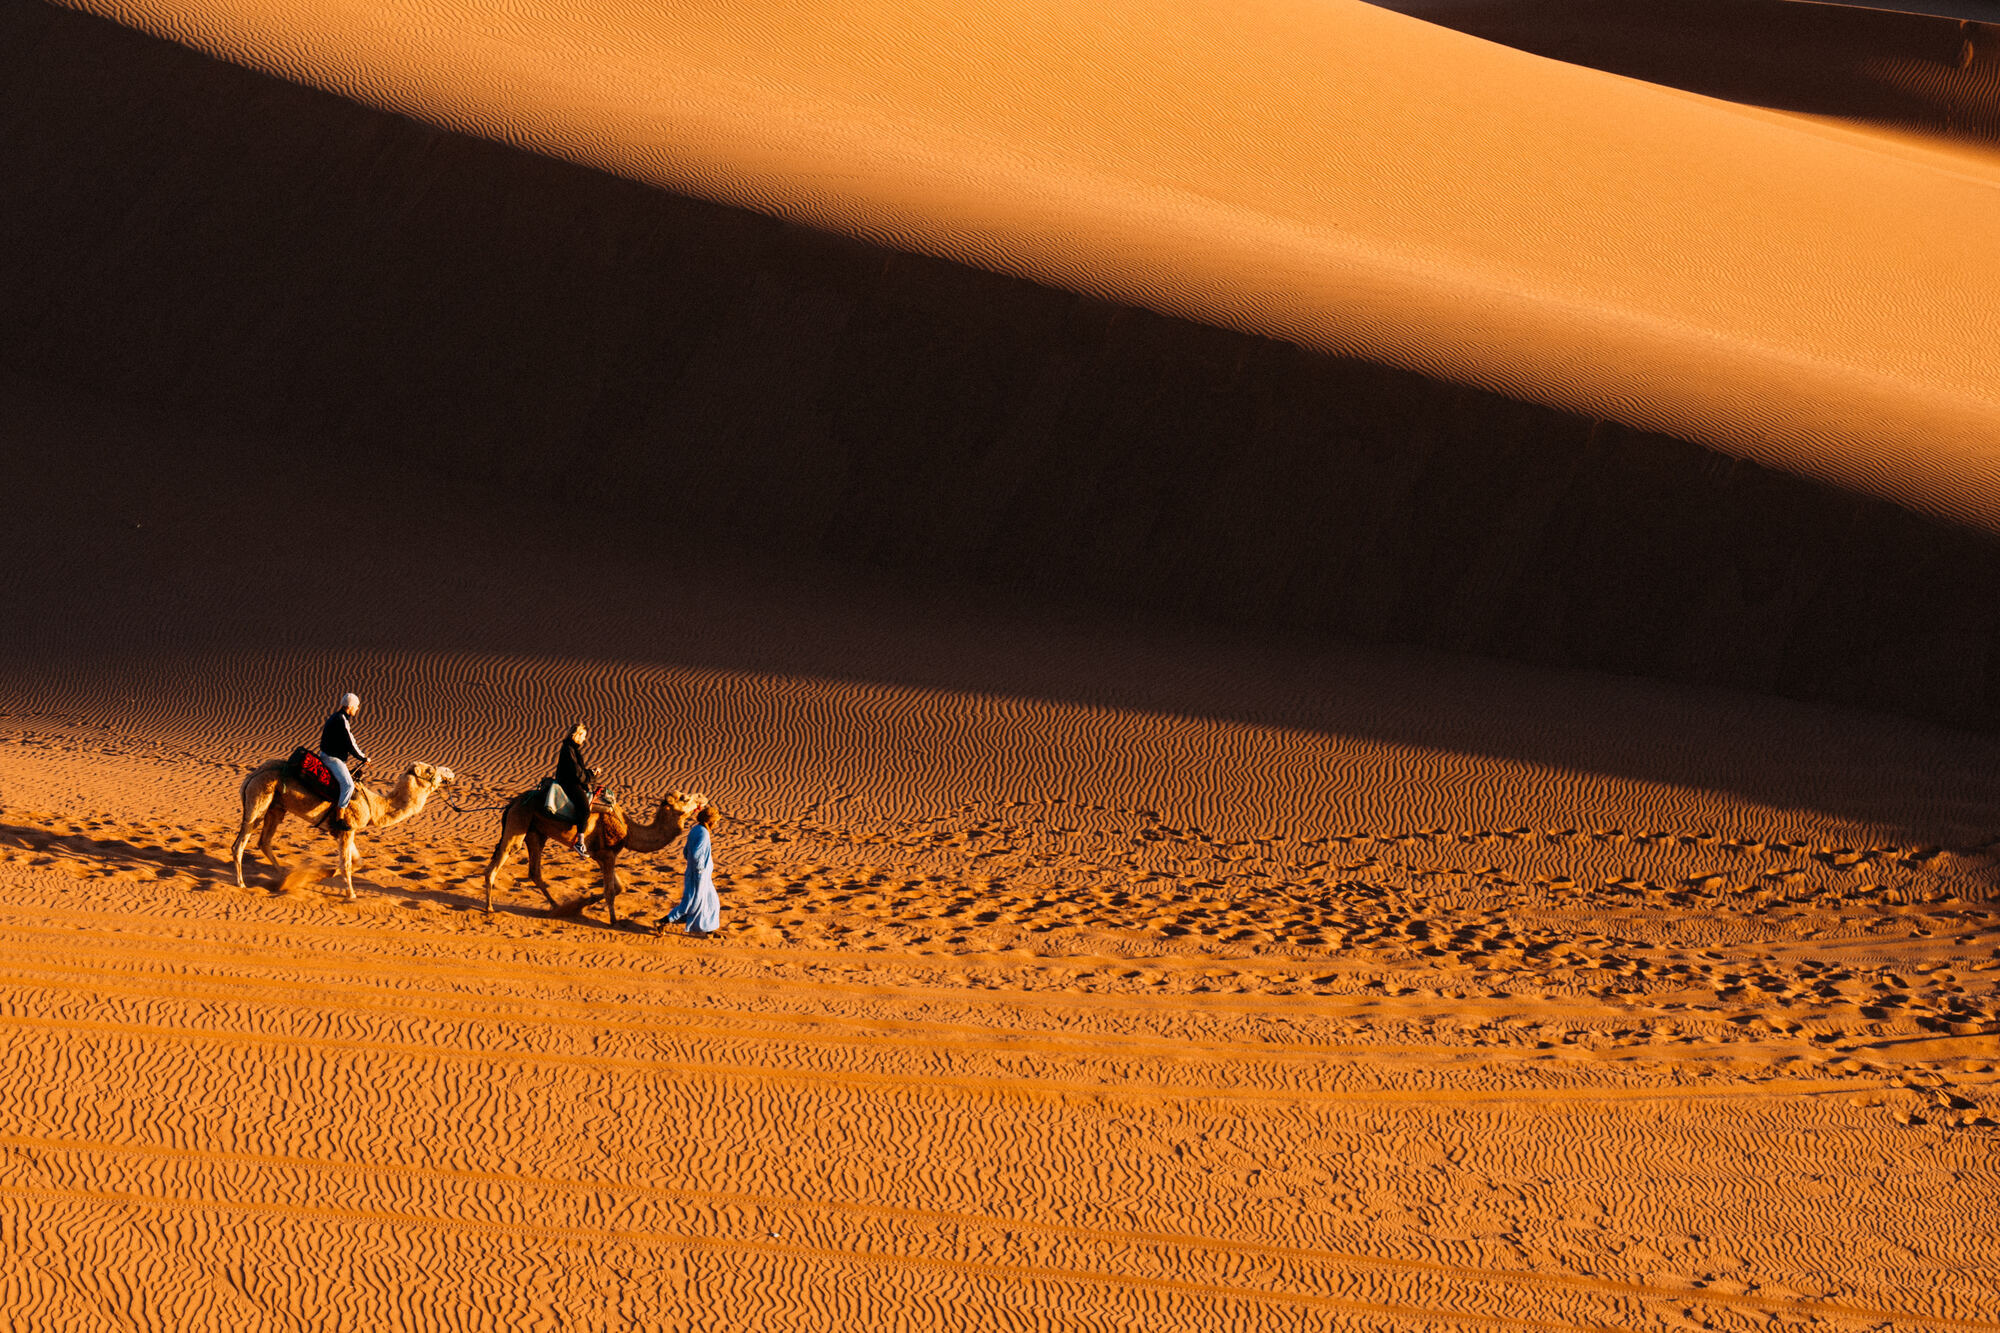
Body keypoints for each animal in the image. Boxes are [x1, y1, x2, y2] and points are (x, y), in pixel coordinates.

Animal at [232, 759, 457, 900]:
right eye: (429, 770)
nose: (450, 772)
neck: (374, 807)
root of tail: (251, 777)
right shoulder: (347, 829)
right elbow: (347, 864)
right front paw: (351, 894)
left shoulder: (343, 831)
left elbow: (356, 861)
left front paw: (323, 874)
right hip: (259, 800)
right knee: (240, 844)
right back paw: (242, 883)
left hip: (276, 807)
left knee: (264, 841)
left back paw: (285, 876)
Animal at [481, 788, 707, 924]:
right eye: (685, 798)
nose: (704, 797)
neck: (628, 830)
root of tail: (512, 803)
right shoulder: (607, 855)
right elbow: (610, 891)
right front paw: (614, 921)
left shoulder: (602, 856)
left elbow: (619, 887)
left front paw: (583, 902)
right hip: (518, 823)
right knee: (495, 865)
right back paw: (489, 907)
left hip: (536, 833)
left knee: (534, 872)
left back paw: (556, 906)